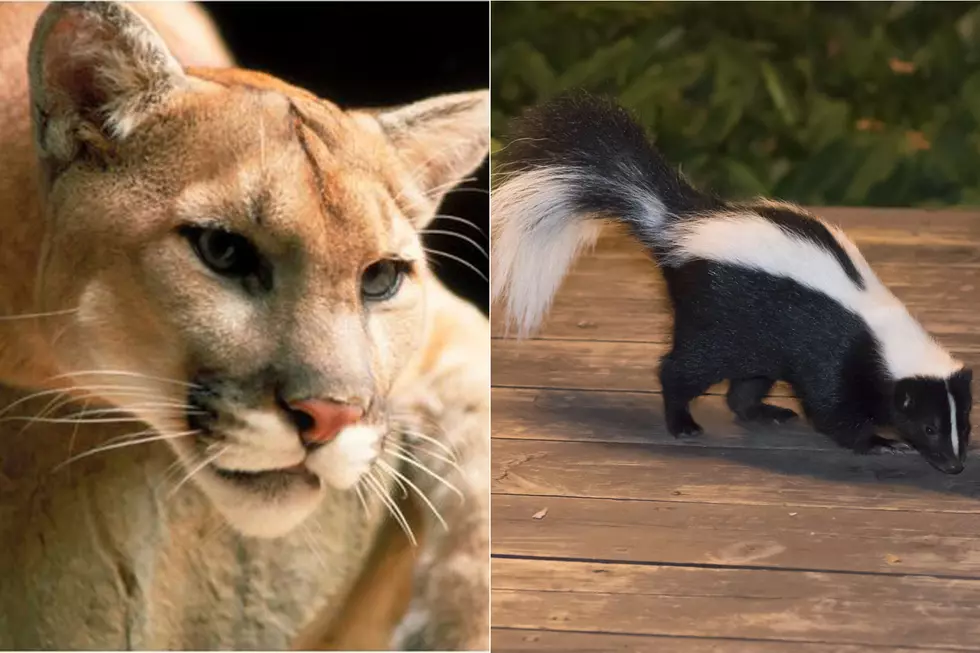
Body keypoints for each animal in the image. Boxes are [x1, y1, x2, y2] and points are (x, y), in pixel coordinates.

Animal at [498, 91, 972, 474]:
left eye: (963, 424)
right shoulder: (834, 356)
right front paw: (879, 442)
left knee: (744, 387)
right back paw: (683, 422)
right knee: (681, 368)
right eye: (929, 426)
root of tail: (679, 226)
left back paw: (765, 412)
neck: (881, 329)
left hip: (755, 341)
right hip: (715, 321)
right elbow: (832, 408)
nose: (954, 465)